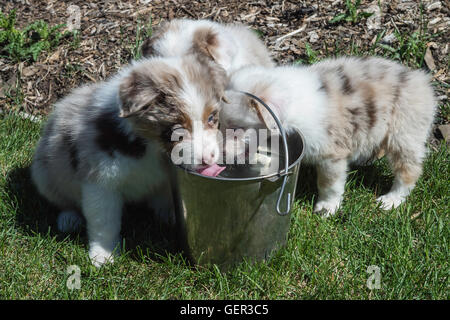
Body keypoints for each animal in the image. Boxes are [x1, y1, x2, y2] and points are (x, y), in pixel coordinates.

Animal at [31, 50, 227, 264]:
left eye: (211, 117)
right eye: (175, 130)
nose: (209, 159)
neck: (150, 145)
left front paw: (174, 215)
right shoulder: (100, 180)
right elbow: (104, 221)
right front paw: (103, 256)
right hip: (44, 174)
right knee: (63, 200)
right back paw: (69, 219)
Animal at [220, 57, 438, 218]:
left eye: (237, 128)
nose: (220, 156)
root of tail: (423, 82)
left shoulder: (331, 155)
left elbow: (328, 184)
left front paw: (326, 208)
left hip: (404, 134)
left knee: (409, 171)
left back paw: (391, 200)